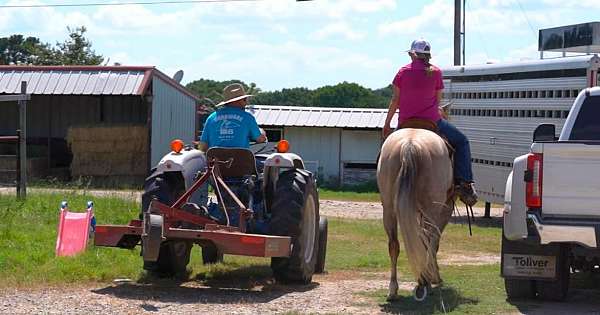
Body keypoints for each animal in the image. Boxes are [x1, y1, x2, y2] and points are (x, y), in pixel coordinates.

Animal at [378, 128, 452, 302]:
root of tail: (409, 144)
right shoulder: (444, 211)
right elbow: (434, 243)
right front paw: (434, 277)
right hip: (431, 209)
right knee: (427, 240)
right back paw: (425, 282)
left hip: (389, 209)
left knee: (394, 245)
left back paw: (393, 290)